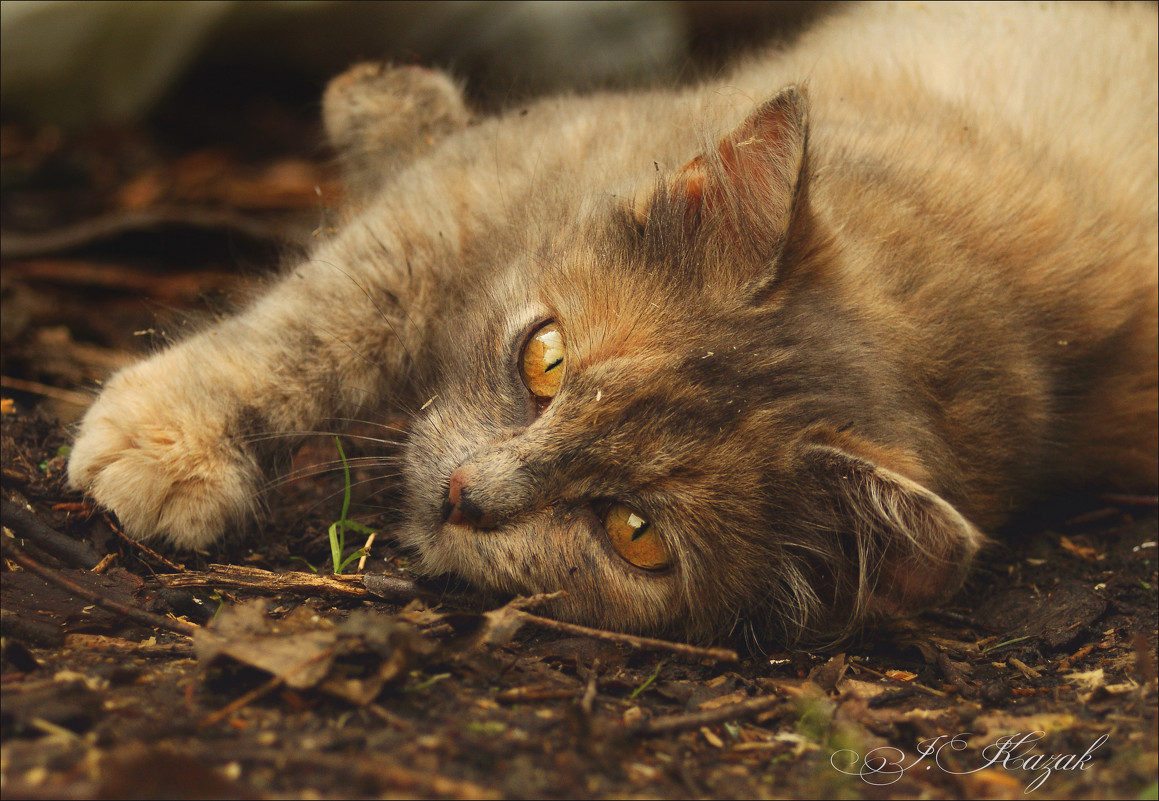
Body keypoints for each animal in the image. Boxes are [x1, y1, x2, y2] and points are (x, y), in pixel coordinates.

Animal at [67, 3, 1154, 644]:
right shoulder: (471, 194)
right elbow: (318, 324)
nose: (466, 496)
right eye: (545, 360)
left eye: (634, 534)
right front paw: (169, 442)